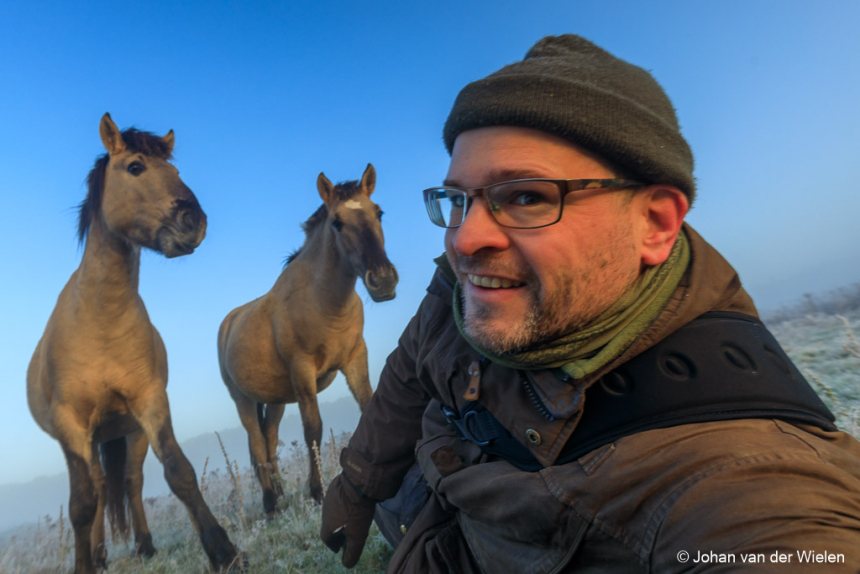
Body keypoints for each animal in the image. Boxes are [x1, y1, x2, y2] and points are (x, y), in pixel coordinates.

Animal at [27, 113, 240, 573]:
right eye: (136, 167)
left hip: (127, 434)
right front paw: (84, 565)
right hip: (89, 441)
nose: (193, 221)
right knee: (97, 490)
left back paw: (143, 545)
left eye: (175, 170)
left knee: (128, 482)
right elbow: (81, 505)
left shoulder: (150, 403)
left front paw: (224, 552)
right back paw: (99, 555)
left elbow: (179, 472)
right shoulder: (72, 426)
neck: (99, 321)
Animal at [217, 163, 398, 512]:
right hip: (242, 398)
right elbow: (313, 429)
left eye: (379, 212)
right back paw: (270, 503)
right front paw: (317, 492)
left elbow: (369, 406)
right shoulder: (302, 371)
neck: (323, 302)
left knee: (269, 438)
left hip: (274, 399)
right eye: (337, 222)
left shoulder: (355, 358)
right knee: (257, 441)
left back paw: (280, 493)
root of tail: (228, 323)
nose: (383, 280)